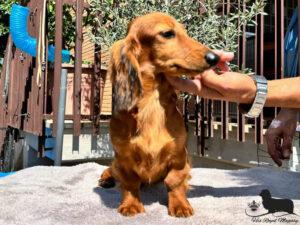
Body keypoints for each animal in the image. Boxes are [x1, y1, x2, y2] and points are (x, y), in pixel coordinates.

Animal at [99, 11, 219, 217]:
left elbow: (174, 181)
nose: (215, 57)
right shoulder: (123, 157)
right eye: (168, 33)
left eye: (185, 31)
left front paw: (180, 205)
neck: (151, 106)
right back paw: (106, 178)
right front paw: (131, 204)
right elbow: (129, 183)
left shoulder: (179, 156)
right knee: (111, 169)